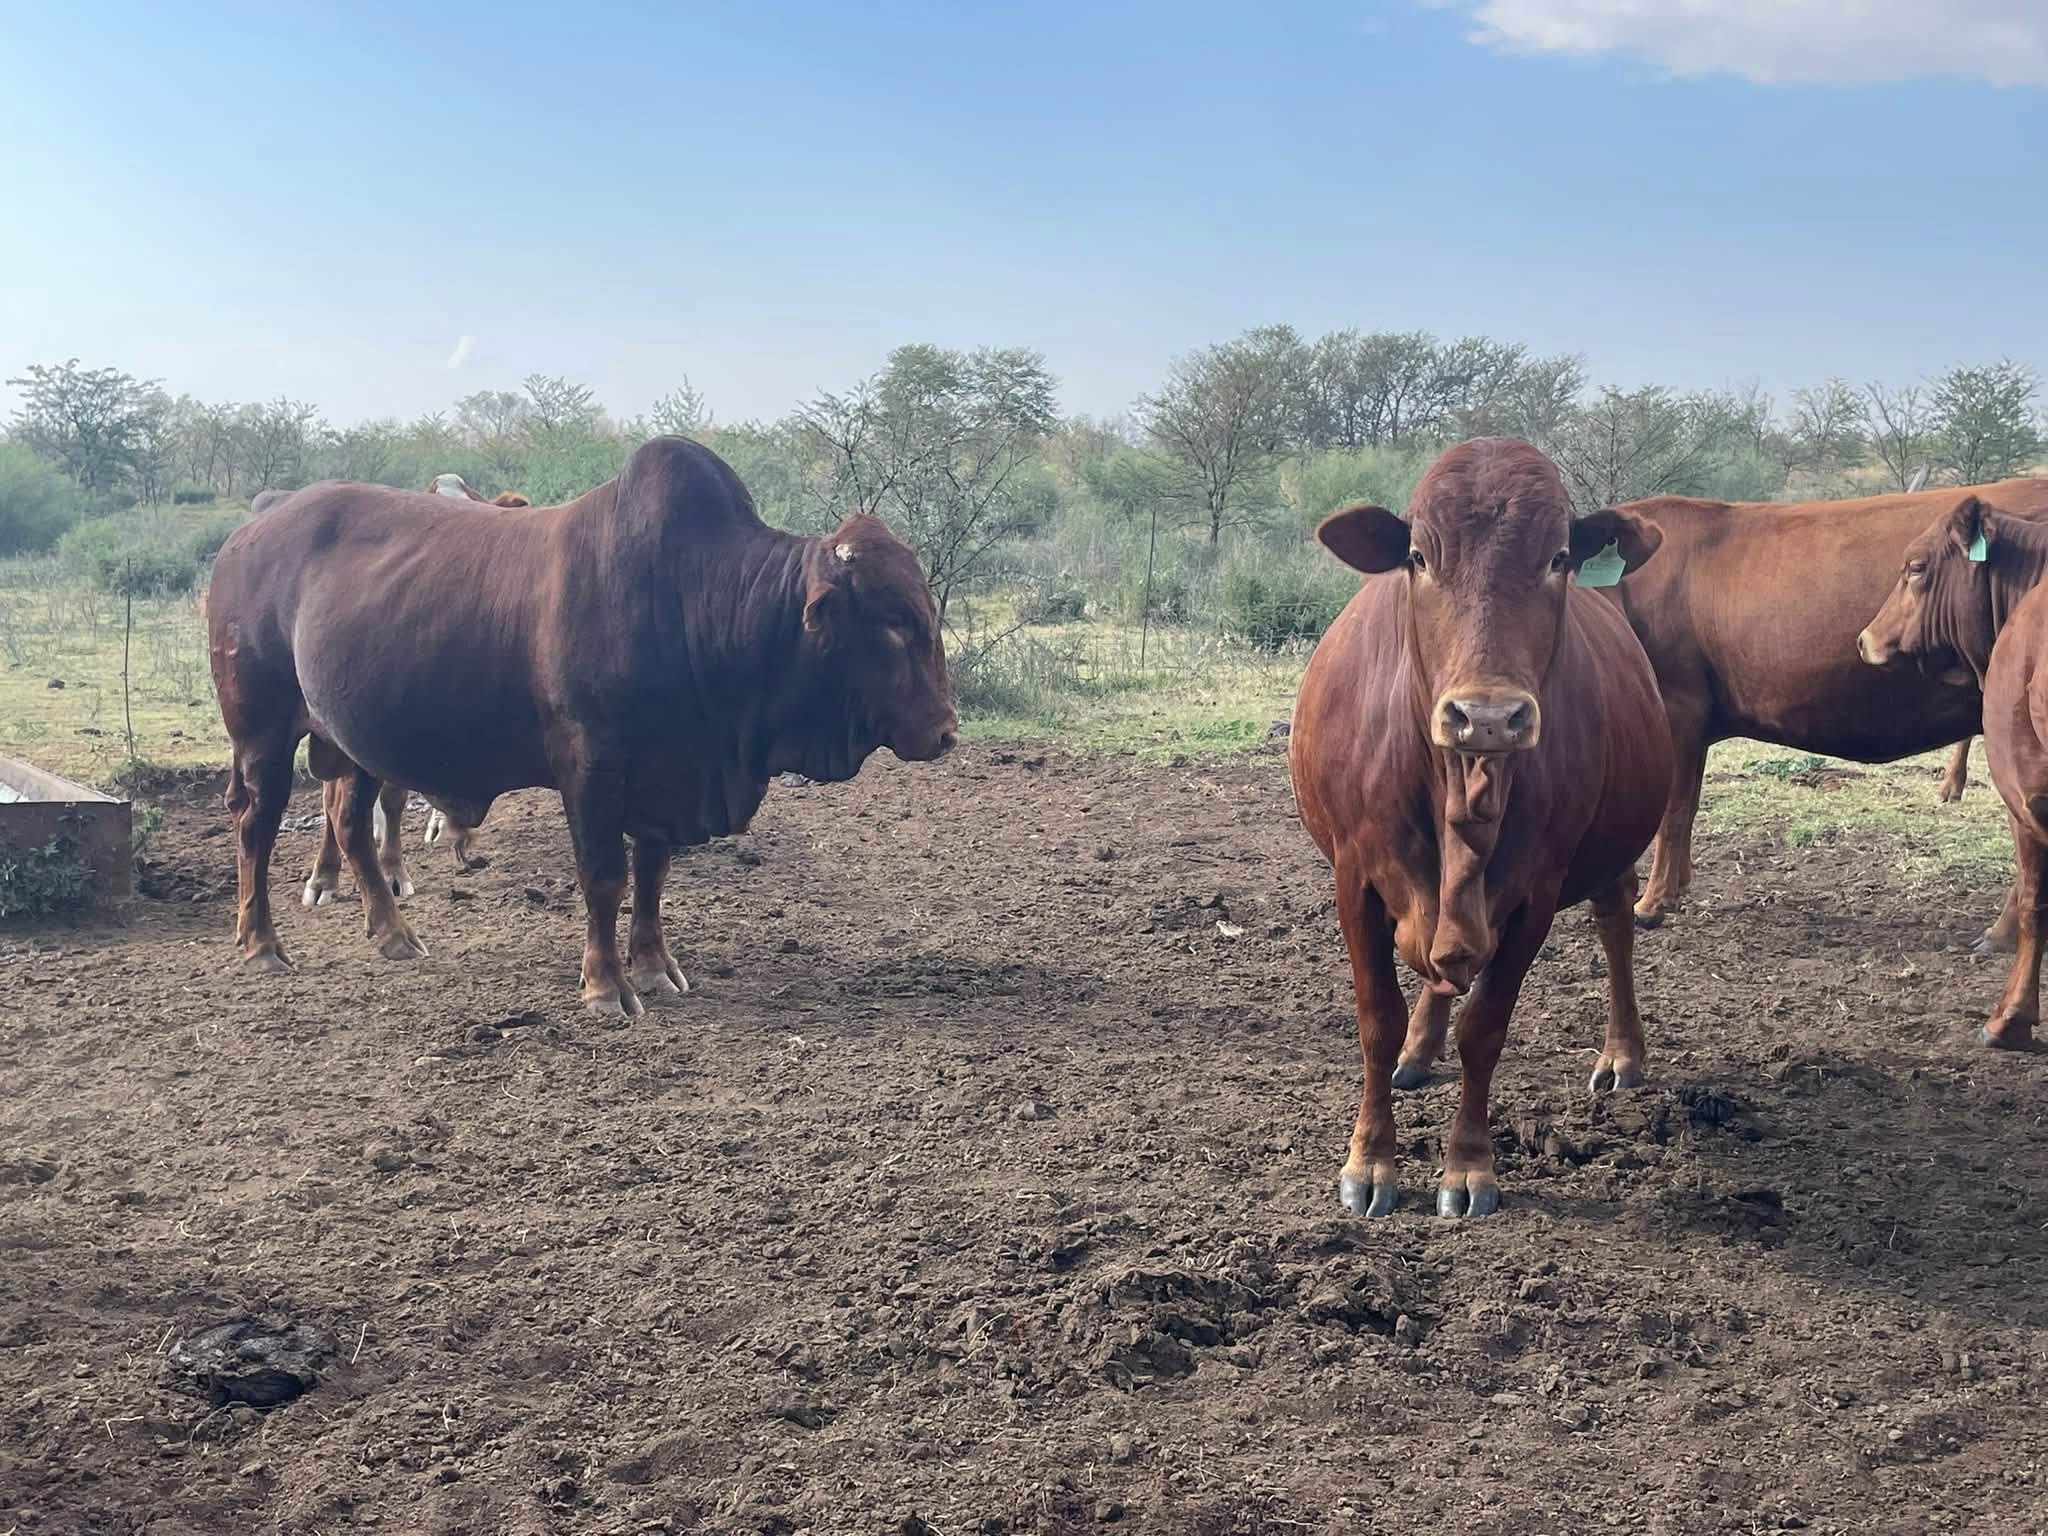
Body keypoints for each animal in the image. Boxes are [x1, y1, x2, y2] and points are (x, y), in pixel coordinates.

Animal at [207, 435, 957, 1013]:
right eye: (893, 624)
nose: (947, 730)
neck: (694, 598)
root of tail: (250, 532)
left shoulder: (664, 775)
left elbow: (651, 875)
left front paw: (654, 966)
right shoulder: (592, 768)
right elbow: (604, 877)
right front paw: (605, 985)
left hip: (352, 741)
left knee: (349, 821)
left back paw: (392, 933)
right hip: (261, 731)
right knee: (256, 823)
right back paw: (262, 943)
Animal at [1290, 438, 1672, 1218]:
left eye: (1559, 556)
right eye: (1418, 555)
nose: (1488, 717)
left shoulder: (1535, 893)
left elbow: (1486, 1026)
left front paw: (1468, 1166)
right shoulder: (1355, 879)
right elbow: (1376, 1019)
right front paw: (1370, 1159)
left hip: (1613, 848)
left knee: (1616, 922)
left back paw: (1622, 1053)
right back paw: (1418, 1049)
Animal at [1609, 477, 2048, 946]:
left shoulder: (1679, 708)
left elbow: (1671, 812)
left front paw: (1651, 903)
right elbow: (1688, 804)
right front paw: (1676, 889)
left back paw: (2002, 931)